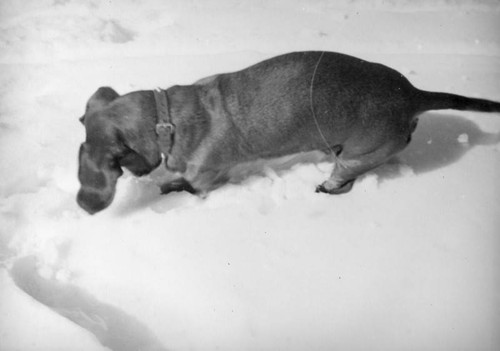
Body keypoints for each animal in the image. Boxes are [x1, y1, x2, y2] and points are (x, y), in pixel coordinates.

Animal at [76, 51, 498, 213]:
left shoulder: (207, 178)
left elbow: (189, 187)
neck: (167, 120)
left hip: (357, 156)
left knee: (343, 179)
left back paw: (325, 187)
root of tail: (412, 95)